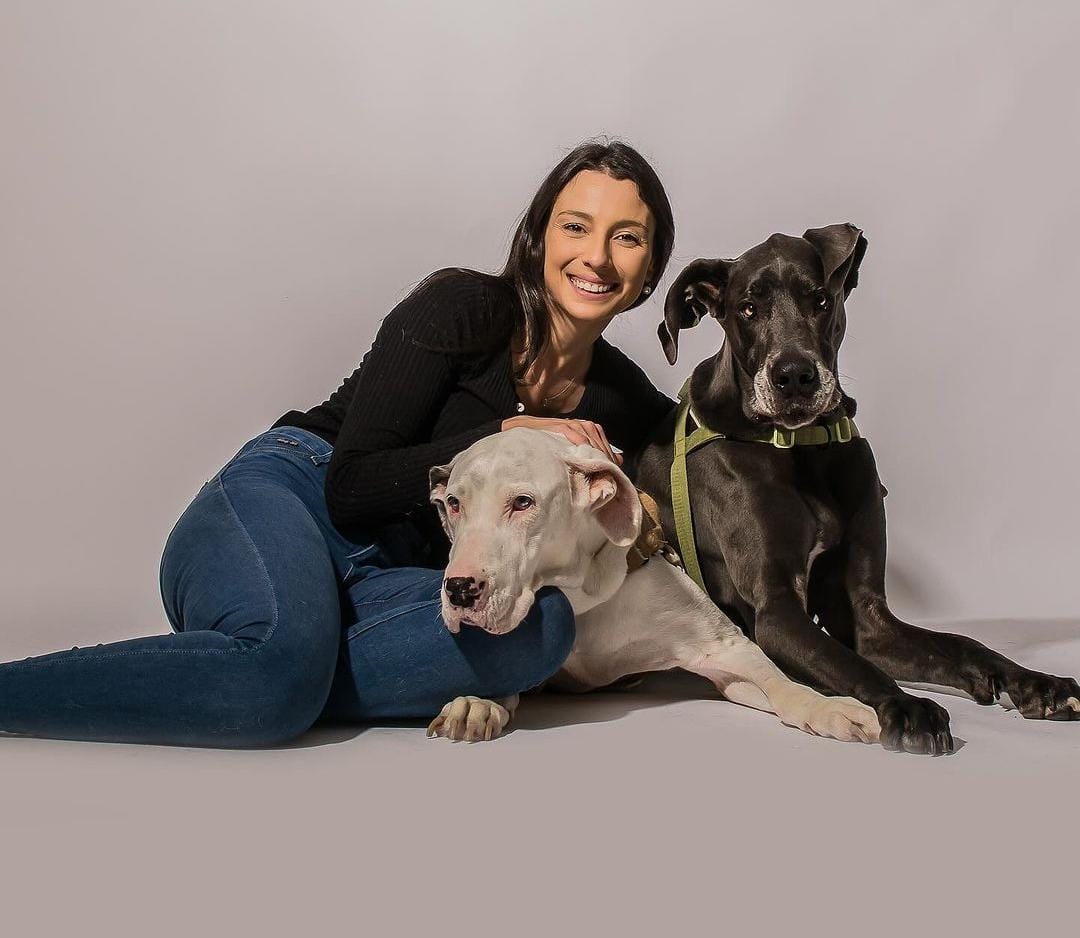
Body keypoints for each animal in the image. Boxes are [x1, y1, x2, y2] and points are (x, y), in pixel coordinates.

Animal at [421, 427, 876, 746]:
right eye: (454, 504)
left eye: (522, 503)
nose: (459, 589)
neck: (580, 599)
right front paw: (479, 703)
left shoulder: (726, 648)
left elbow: (778, 682)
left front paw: (823, 706)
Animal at [630, 225, 1080, 755]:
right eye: (748, 308)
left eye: (821, 299)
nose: (794, 377)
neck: (802, 446)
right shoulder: (776, 610)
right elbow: (852, 664)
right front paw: (908, 705)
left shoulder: (866, 616)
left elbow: (961, 644)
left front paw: (1036, 682)